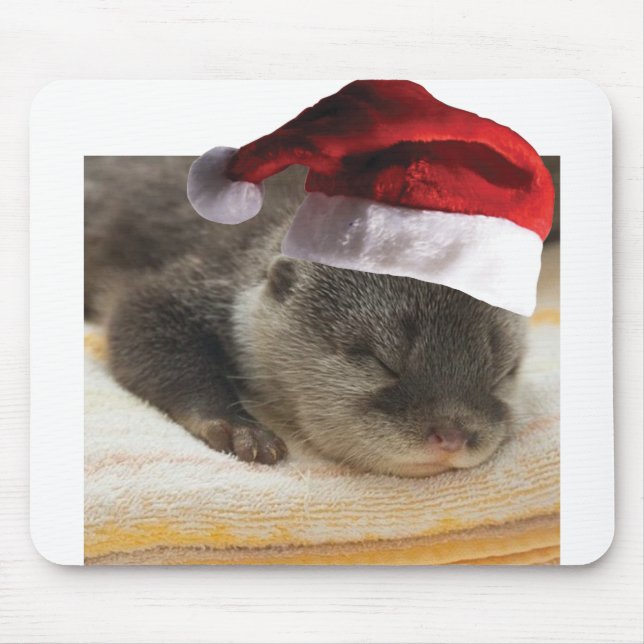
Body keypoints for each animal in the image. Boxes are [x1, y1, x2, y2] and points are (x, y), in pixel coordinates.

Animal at [84, 156, 526, 478]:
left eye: (500, 373)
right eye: (381, 362)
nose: (452, 436)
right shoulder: (201, 274)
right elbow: (138, 317)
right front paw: (238, 427)